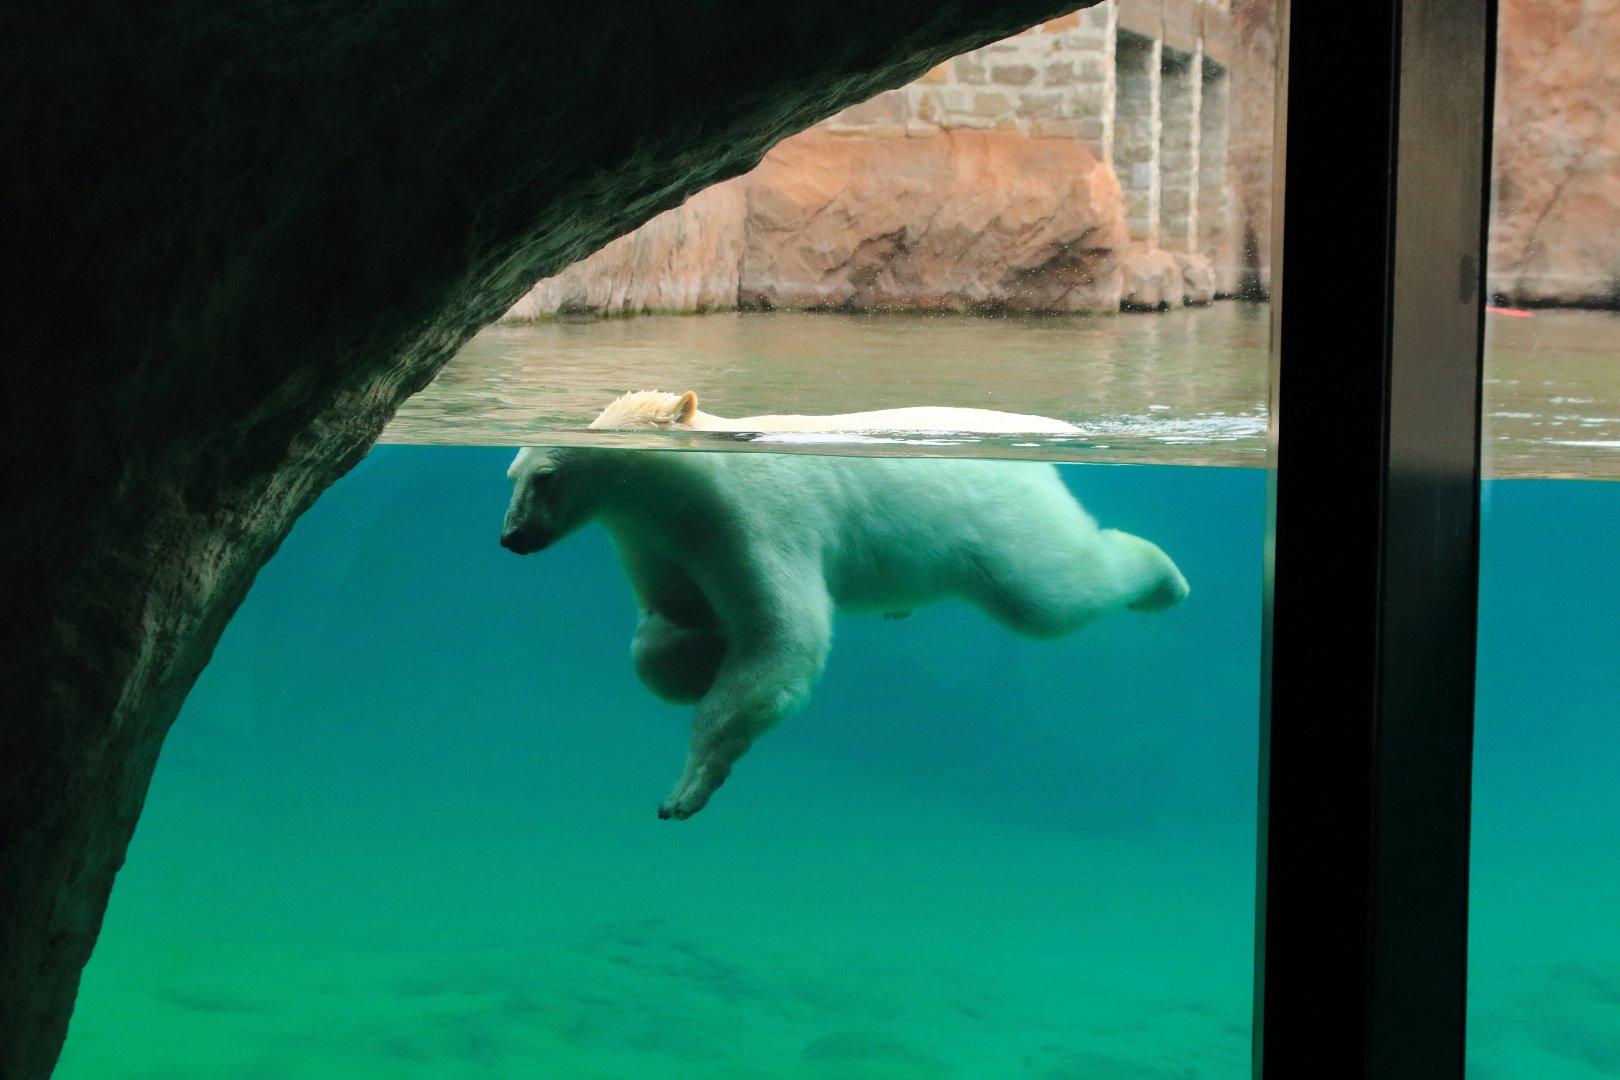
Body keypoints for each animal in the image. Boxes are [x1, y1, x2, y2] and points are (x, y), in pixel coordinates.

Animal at [502, 394, 1188, 821]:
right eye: (513, 475)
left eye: (543, 476)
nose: (512, 539)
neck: (689, 480)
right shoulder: (652, 535)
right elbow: (665, 622)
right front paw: (694, 658)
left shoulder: (752, 518)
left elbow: (783, 639)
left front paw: (685, 791)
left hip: (1002, 518)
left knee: (1050, 593)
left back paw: (1166, 580)